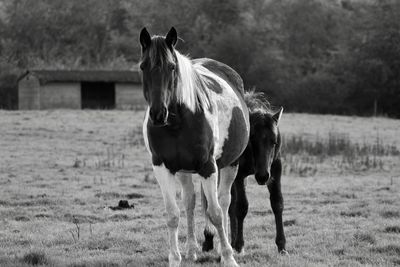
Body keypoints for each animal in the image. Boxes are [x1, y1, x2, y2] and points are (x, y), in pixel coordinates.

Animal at [139, 27, 248, 267]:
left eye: (172, 66)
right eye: (143, 66)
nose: (158, 114)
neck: (178, 122)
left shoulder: (208, 167)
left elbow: (215, 213)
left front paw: (228, 257)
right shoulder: (162, 167)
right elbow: (172, 214)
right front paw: (175, 258)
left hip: (230, 165)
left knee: (224, 202)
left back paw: (223, 250)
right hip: (183, 170)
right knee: (189, 202)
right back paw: (190, 250)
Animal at [203, 92, 288, 255]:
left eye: (274, 141)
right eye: (252, 139)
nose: (262, 176)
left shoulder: (275, 169)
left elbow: (277, 203)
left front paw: (282, 245)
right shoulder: (239, 175)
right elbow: (241, 207)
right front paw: (239, 244)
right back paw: (209, 240)